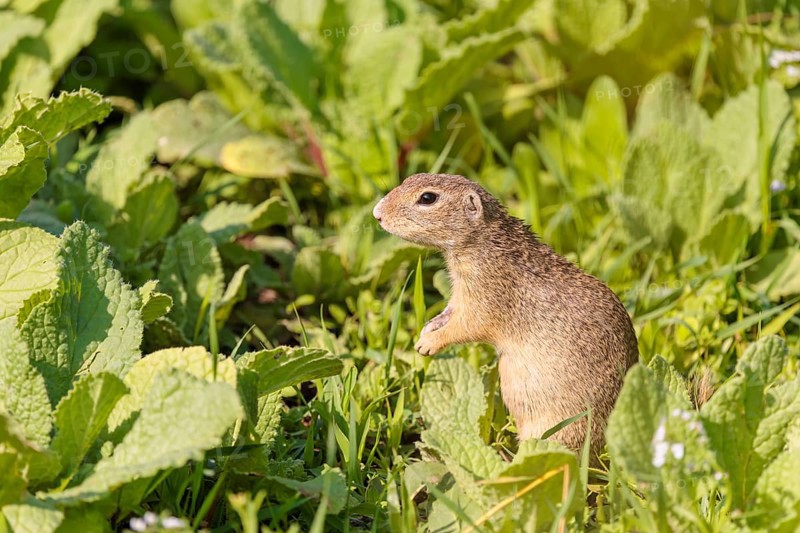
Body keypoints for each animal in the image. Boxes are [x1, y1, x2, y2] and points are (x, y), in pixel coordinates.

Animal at [373, 173, 639, 456]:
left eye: (427, 198)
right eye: (410, 179)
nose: (376, 213)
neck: (485, 243)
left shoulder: (486, 299)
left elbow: (465, 326)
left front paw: (429, 344)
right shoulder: (460, 297)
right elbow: (450, 312)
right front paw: (428, 328)